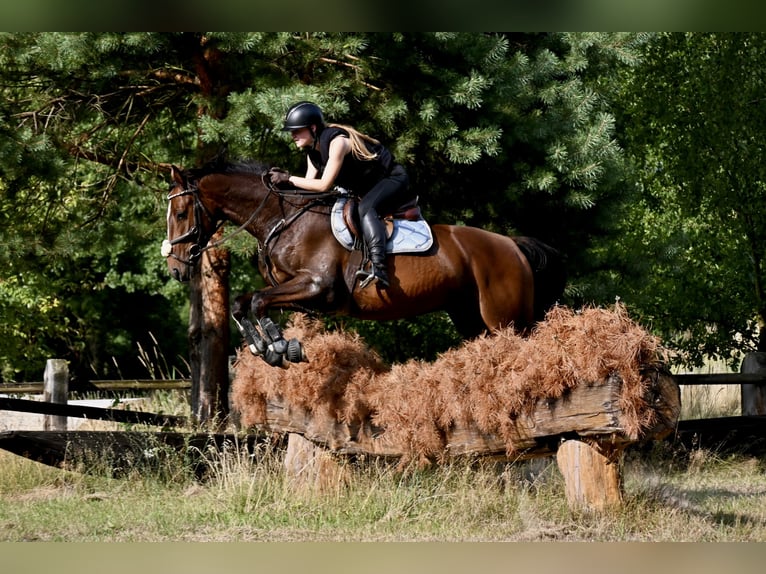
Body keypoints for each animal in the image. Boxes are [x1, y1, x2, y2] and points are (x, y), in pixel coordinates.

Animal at [163, 158, 566, 366]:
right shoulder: (295, 292)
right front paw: (261, 348)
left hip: (505, 318)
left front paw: (280, 347)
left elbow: (259, 301)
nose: (176, 269)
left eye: (181, 213)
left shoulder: (319, 289)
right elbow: (242, 302)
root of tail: (511, 244)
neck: (282, 218)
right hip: (470, 317)